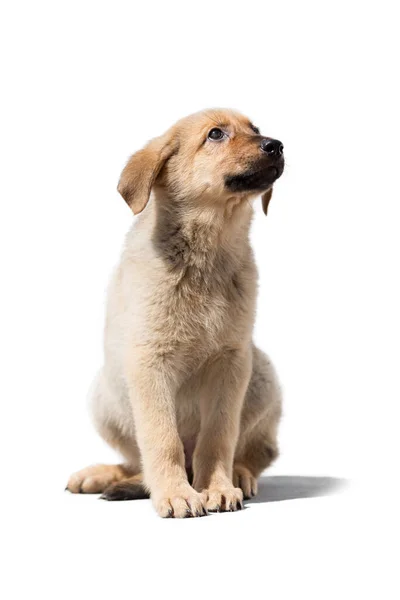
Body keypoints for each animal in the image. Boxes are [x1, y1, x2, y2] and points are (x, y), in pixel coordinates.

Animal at [66, 110, 284, 516]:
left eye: (256, 130)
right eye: (215, 134)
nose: (276, 145)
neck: (206, 254)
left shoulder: (231, 361)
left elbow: (219, 435)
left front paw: (216, 487)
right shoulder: (149, 361)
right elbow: (161, 438)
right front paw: (176, 493)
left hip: (261, 374)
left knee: (257, 450)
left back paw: (240, 474)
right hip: (106, 393)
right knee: (137, 460)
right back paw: (105, 475)